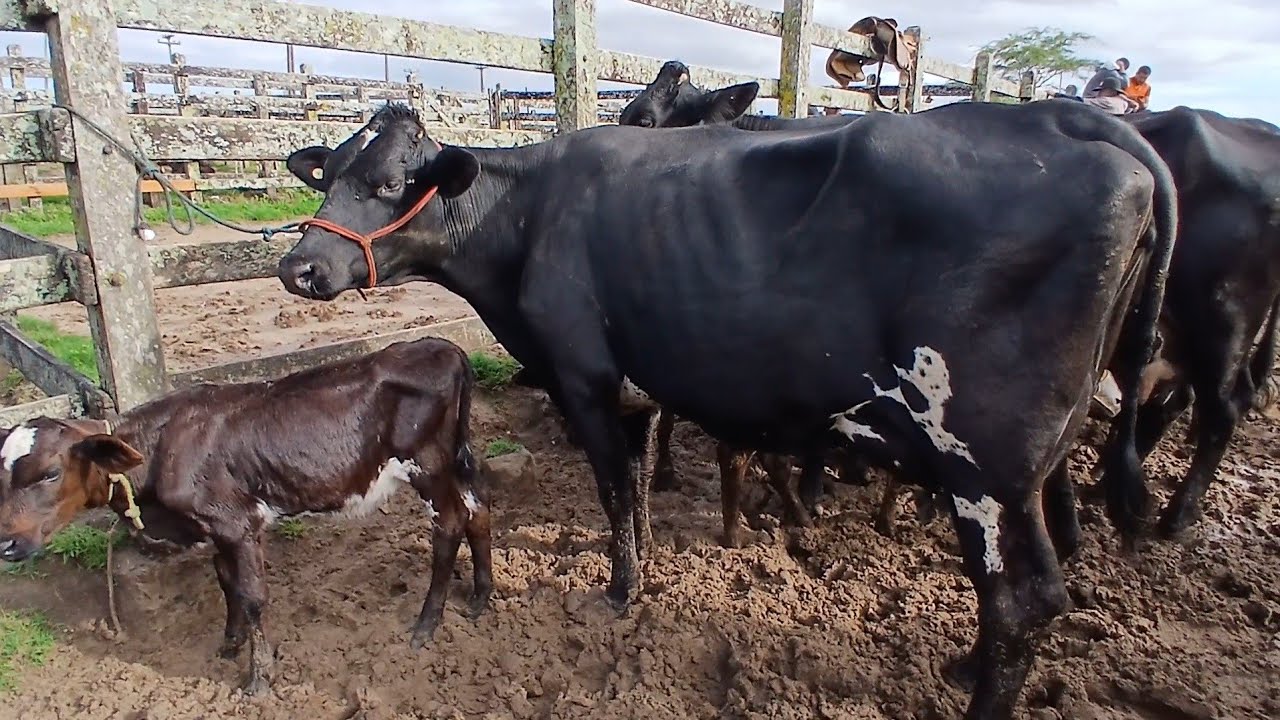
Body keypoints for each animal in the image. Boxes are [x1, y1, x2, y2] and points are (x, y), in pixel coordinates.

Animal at [0, 337, 491, 695]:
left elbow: (253, 596)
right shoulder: (216, 527)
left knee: (450, 524)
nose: (6, 542)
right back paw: (480, 598)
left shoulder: (238, 524)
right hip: (454, 464)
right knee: (478, 510)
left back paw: (426, 625)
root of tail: (440, 346)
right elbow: (226, 582)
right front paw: (229, 643)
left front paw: (258, 679)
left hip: (427, 465)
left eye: (50, 472)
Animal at [273, 99, 1176, 718]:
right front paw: (644, 567)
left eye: (391, 183)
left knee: (1022, 597)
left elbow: (611, 487)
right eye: (330, 174)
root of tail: (1075, 123)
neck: (528, 215)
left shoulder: (582, 378)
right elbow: (637, 484)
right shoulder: (632, 391)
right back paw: (961, 667)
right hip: (1031, 461)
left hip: (982, 463)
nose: (299, 266)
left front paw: (619, 592)